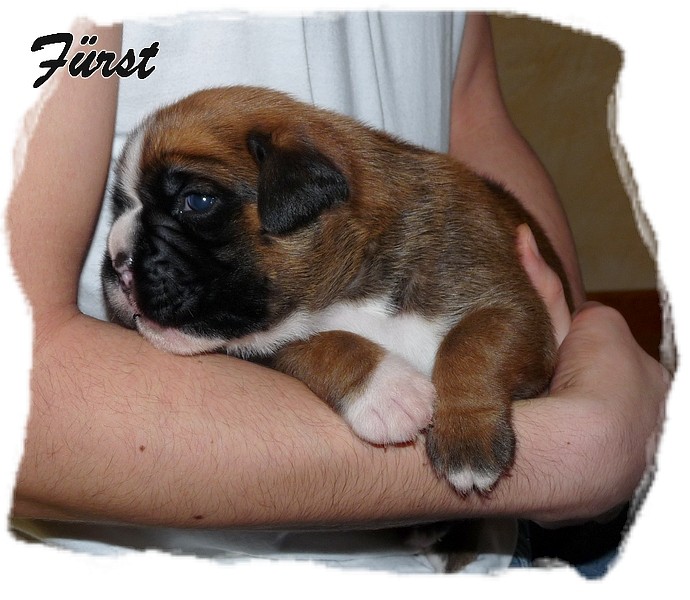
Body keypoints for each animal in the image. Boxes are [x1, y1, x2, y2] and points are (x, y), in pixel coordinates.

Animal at [102, 85, 571, 494]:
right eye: (121, 208)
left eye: (197, 201)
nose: (116, 260)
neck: (350, 289)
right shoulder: (277, 345)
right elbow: (325, 343)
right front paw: (388, 391)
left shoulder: (515, 308)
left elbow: (472, 344)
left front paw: (467, 440)